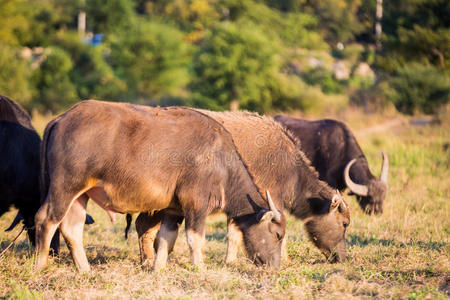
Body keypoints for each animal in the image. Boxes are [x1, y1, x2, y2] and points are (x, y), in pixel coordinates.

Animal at [34, 101, 284, 272]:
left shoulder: (174, 210)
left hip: (80, 194)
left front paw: (158, 267)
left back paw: (84, 269)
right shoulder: (196, 205)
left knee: (71, 228)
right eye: (278, 235)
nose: (274, 267)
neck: (220, 162)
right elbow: (195, 239)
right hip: (64, 187)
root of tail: (61, 119)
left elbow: (165, 239)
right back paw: (40, 265)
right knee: (46, 220)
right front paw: (200, 268)